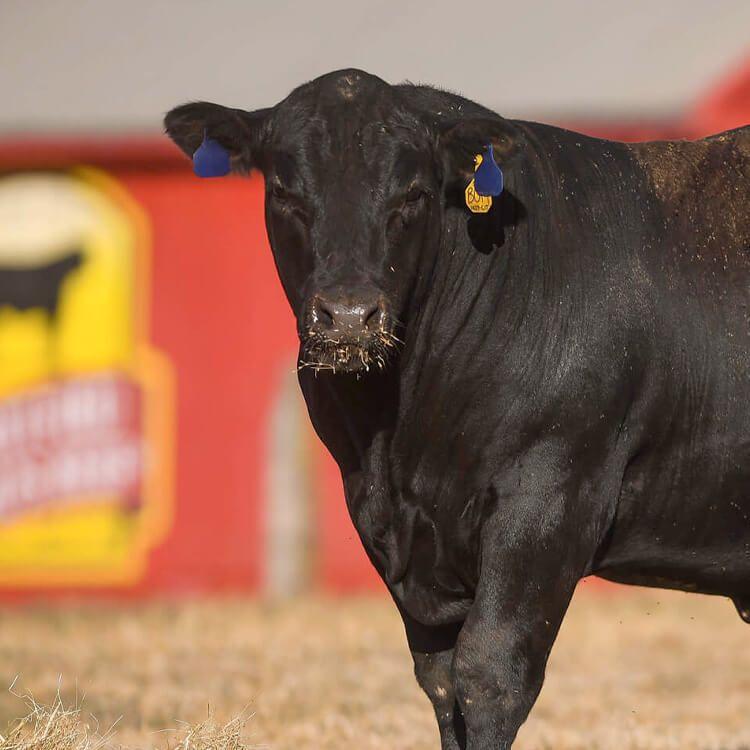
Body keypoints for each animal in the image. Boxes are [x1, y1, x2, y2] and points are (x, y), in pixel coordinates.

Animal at [165, 69, 750, 749]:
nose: (349, 316)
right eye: (284, 190)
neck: (400, 437)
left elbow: (489, 674)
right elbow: (443, 682)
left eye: (413, 193)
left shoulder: (551, 499)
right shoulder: (389, 526)